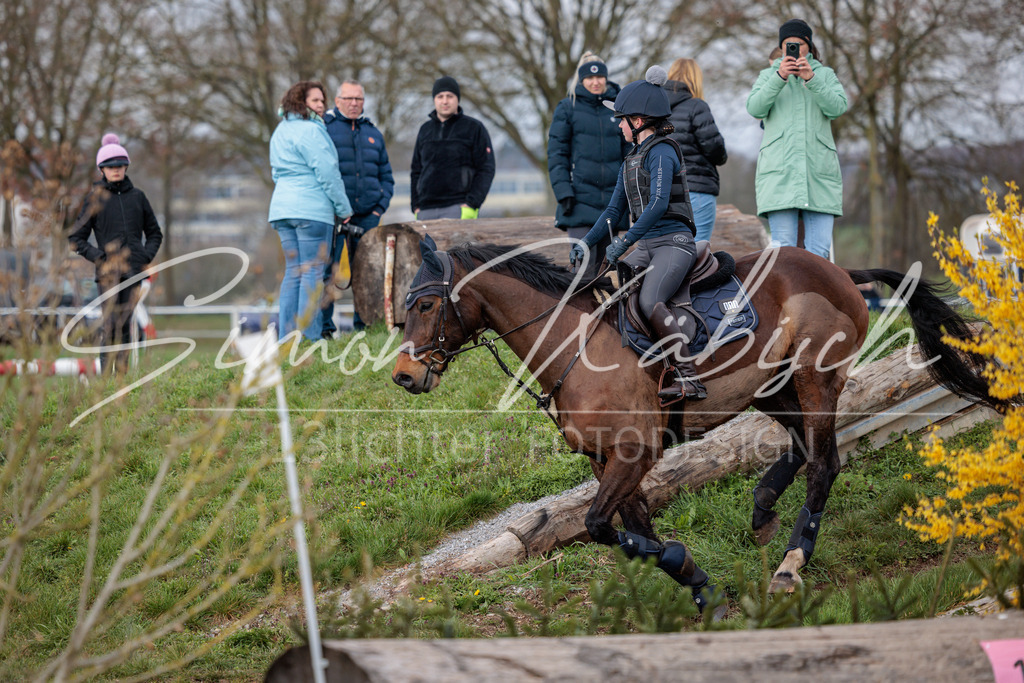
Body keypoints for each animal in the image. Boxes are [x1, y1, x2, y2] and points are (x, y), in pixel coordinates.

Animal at [392, 236, 1012, 606]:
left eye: (426, 304)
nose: (403, 376)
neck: (575, 344)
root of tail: (836, 268)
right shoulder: (603, 460)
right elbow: (630, 531)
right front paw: (694, 580)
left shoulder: (634, 452)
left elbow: (600, 526)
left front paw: (685, 567)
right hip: (772, 388)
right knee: (803, 449)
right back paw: (762, 507)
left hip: (814, 379)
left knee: (825, 462)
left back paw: (790, 564)